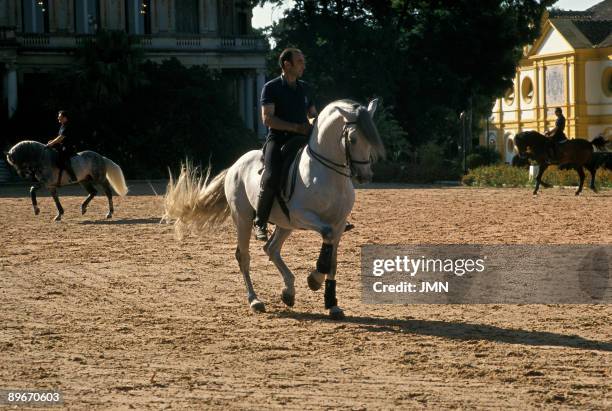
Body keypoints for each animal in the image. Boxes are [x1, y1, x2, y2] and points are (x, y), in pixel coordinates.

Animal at [163, 99, 382, 318]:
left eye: (371, 139)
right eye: (352, 139)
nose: (365, 176)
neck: (328, 174)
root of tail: (236, 164)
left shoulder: (339, 224)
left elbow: (332, 261)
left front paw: (332, 304)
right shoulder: (302, 216)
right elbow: (326, 242)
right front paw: (314, 279)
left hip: (284, 225)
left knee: (271, 248)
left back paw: (288, 292)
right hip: (243, 219)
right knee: (244, 256)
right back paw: (255, 300)